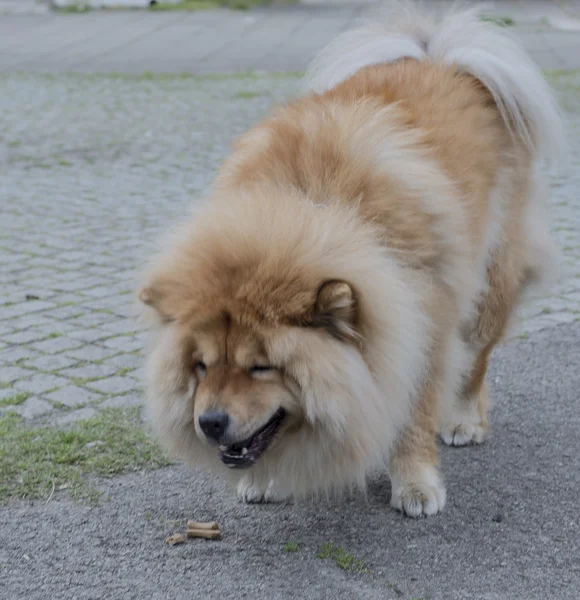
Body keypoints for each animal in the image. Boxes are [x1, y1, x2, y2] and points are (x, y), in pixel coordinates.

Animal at [138, 2, 564, 516]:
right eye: (200, 367)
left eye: (261, 367)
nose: (210, 421)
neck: (311, 210)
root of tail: (441, 58)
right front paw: (266, 480)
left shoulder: (420, 329)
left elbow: (414, 414)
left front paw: (416, 486)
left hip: (490, 284)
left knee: (476, 360)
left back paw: (464, 421)